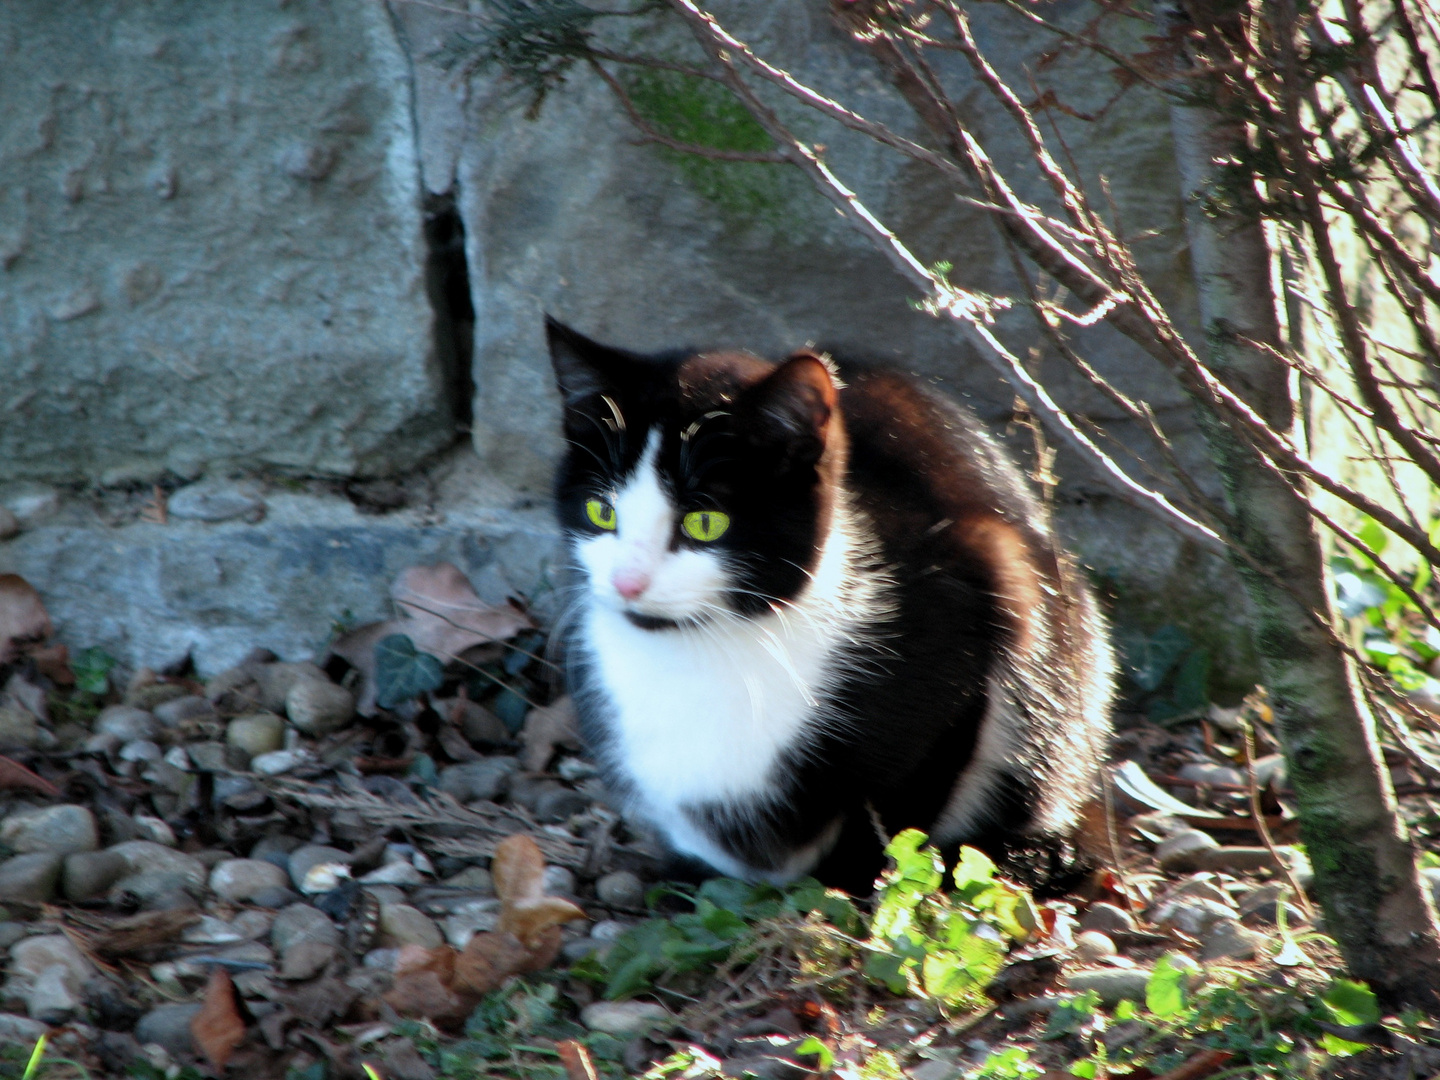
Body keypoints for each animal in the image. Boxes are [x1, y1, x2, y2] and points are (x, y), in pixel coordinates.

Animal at [544, 316, 1117, 892]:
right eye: (600, 511)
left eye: (705, 522)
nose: (627, 582)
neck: (713, 646)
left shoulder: (979, 591)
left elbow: (903, 804)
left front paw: (854, 886)